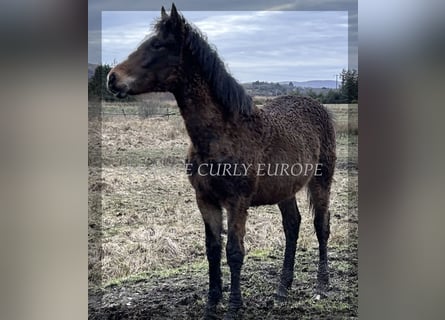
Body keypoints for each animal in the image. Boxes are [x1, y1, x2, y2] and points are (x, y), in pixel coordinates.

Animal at [107, 5, 334, 320]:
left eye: (158, 45)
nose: (112, 78)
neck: (223, 133)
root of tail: (316, 105)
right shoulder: (205, 200)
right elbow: (213, 250)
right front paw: (212, 305)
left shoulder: (237, 202)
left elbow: (234, 251)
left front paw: (234, 307)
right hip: (284, 189)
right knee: (292, 225)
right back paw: (282, 288)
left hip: (322, 180)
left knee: (321, 226)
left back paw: (322, 285)